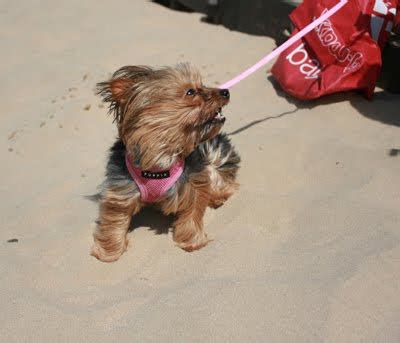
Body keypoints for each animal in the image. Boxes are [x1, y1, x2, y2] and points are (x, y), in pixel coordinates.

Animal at [91, 63, 241, 264]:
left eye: (201, 85)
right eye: (191, 91)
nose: (225, 91)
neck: (161, 158)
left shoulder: (194, 181)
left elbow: (192, 212)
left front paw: (192, 241)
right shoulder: (120, 190)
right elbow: (114, 220)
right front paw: (109, 252)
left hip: (213, 152)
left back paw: (217, 196)